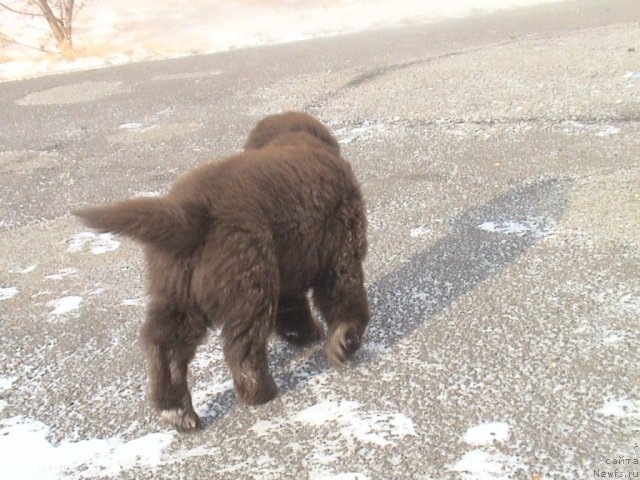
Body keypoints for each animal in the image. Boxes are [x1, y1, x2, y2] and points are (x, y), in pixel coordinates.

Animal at [75, 111, 370, 432]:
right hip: (249, 278)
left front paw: (307, 334)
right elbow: (344, 294)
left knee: (166, 343)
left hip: (178, 289)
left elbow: (293, 308)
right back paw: (259, 391)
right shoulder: (341, 249)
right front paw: (344, 339)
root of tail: (188, 212)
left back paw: (177, 410)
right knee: (242, 344)